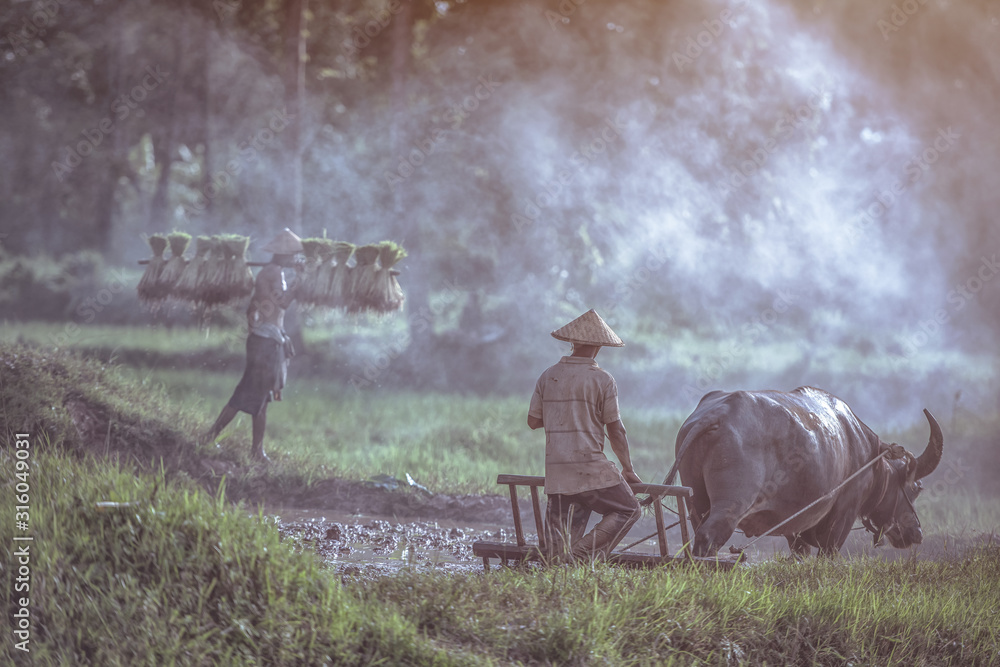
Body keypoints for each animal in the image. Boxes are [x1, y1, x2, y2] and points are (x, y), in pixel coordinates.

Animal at [668, 388, 940, 556]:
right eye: (914, 488)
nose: (916, 533)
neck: (868, 456)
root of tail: (716, 414)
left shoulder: (795, 528)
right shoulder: (843, 515)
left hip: (697, 503)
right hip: (730, 505)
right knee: (708, 538)